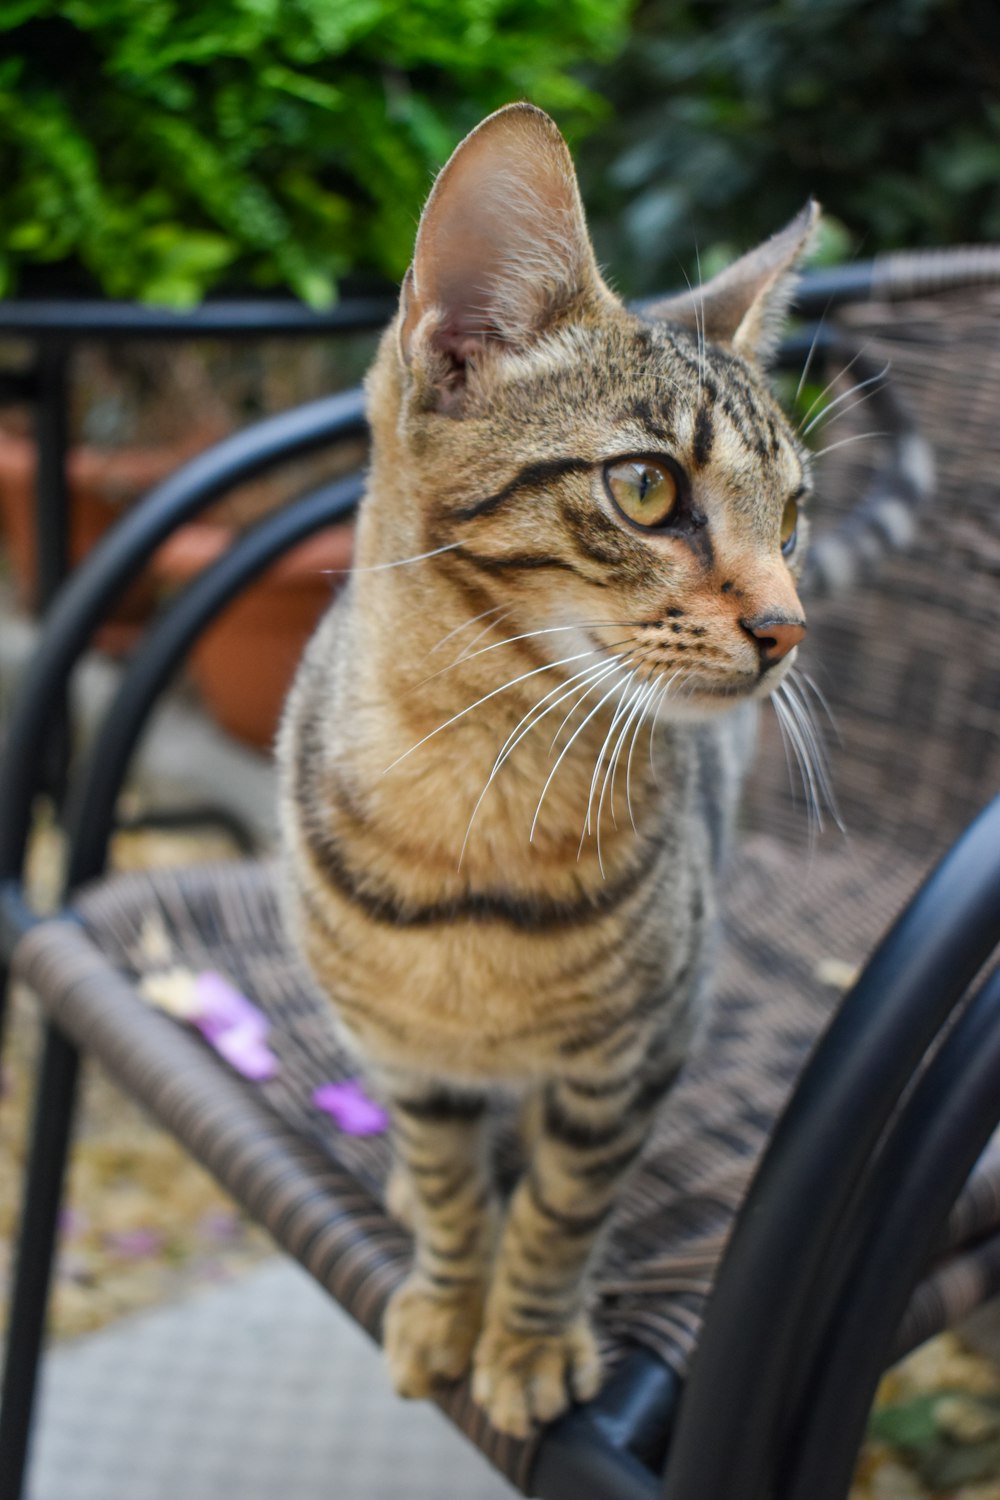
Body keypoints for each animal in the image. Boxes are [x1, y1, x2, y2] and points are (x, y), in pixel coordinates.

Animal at [277, 99, 815, 1434]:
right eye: (647, 486)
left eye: (791, 518)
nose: (789, 627)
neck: (479, 785)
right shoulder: (410, 1066)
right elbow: (452, 1188)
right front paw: (446, 1299)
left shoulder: (632, 1059)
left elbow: (563, 1215)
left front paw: (523, 1338)